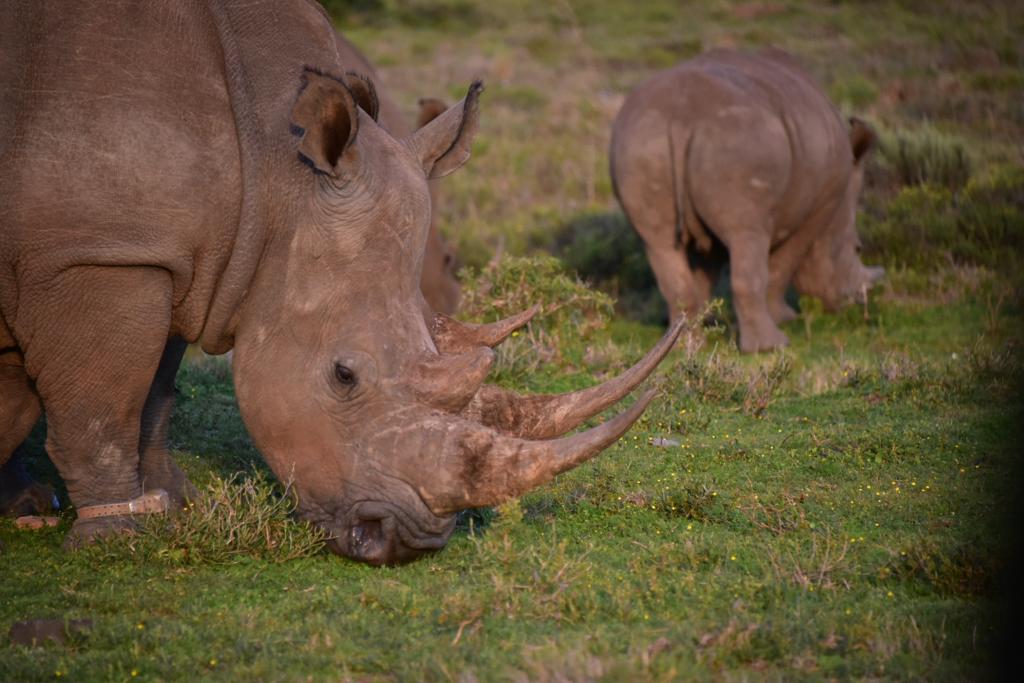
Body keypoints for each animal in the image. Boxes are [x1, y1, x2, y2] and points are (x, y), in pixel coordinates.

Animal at [0, 1, 681, 565]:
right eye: (344, 375)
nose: (407, 542)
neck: (273, 175)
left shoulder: (173, 254)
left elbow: (153, 387)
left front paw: (168, 504)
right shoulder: (102, 253)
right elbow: (105, 401)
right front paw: (113, 538)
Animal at [610, 48, 884, 352]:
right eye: (858, 248)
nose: (857, 303)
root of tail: (681, 118)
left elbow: (705, 273)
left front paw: (706, 321)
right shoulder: (819, 208)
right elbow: (782, 265)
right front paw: (786, 318)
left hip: (642, 145)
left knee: (658, 243)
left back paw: (686, 343)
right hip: (739, 145)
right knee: (747, 235)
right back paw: (770, 346)